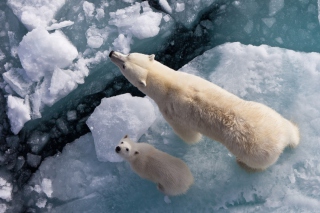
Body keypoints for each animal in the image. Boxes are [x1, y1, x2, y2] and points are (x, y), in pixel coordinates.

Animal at [109, 50, 298, 171]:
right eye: (128, 55)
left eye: (124, 64)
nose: (111, 53)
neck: (169, 84)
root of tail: (281, 140)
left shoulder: (170, 111)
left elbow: (188, 135)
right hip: (266, 112)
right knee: (288, 126)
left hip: (254, 151)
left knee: (255, 163)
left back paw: (242, 164)